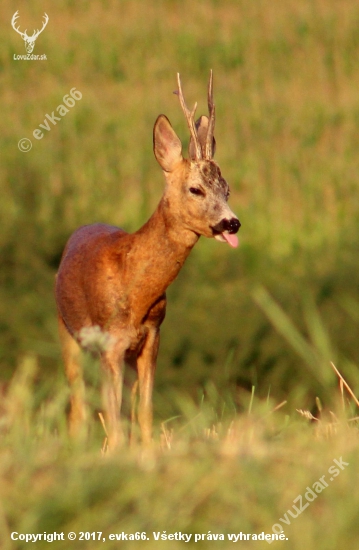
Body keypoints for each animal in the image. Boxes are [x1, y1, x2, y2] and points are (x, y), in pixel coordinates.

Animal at [55, 72, 242, 448]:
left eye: (226, 189)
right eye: (196, 189)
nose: (232, 223)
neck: (135, 288)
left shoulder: (152, 336)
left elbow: (143, 410)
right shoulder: (109, 342)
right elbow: (111, 415)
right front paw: (115, 451)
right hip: (66, 330)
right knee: (78, 406)